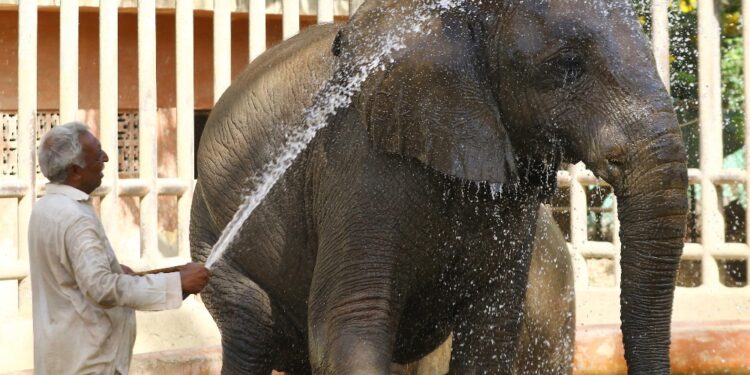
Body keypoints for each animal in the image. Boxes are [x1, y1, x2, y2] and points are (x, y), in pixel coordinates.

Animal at [192, 0, 688, 374]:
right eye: (568, 65)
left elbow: (492, 328)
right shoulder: (358, 160)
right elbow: (349, 322)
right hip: (210, 236)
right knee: (251, 332)